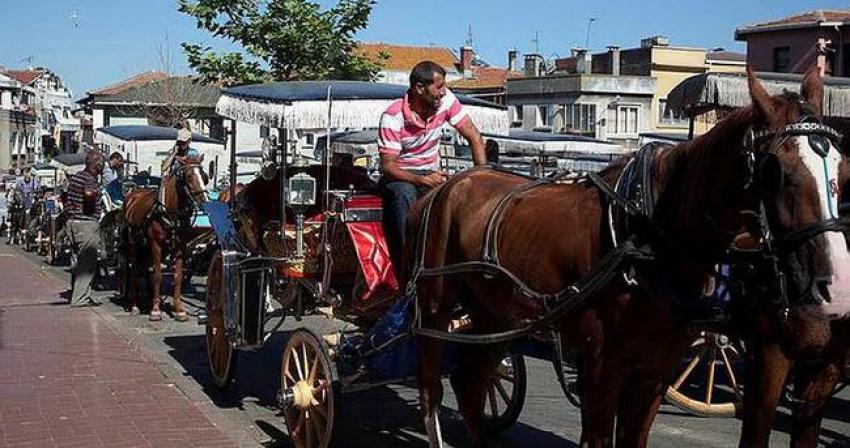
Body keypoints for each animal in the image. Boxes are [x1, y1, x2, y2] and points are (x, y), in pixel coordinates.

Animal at [121, 161, 207, 322]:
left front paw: (178, 310)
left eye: (204, 176)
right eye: (188, 176)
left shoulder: (180, 246)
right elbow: (157, 275)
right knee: (135, 270)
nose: (204, 201)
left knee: (146, 268)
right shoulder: (156, 244)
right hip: (134, 244)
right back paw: (134, 304)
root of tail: (133, 193)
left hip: (146, 246)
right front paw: (155, 310)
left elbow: (178, 276)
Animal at [406, 67, 848, 448]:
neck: (647, 235)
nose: (836, 286)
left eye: (841, 171)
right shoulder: (603, 363)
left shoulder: (657, 368)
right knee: (431, 387)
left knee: (469, 383)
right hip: (435, 309)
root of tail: (443, 187)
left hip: (499, 317)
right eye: (777, 172)